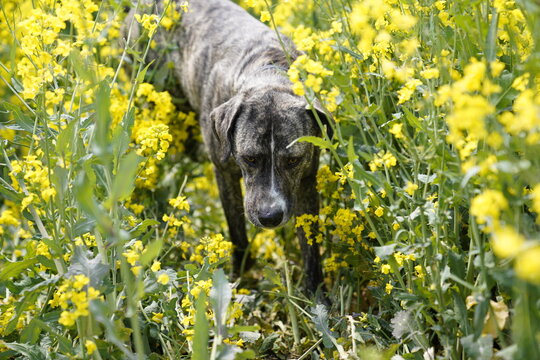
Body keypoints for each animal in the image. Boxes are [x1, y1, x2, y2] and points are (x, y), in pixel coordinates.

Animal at [160, 0, 330, 294]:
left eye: (293, 161)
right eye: (249, 158)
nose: (270, 217)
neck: (269, 74)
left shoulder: (307, 181)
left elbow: (309, 242)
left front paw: (316, 294)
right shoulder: (224, 173)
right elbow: (236, 227)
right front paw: (238, 275)